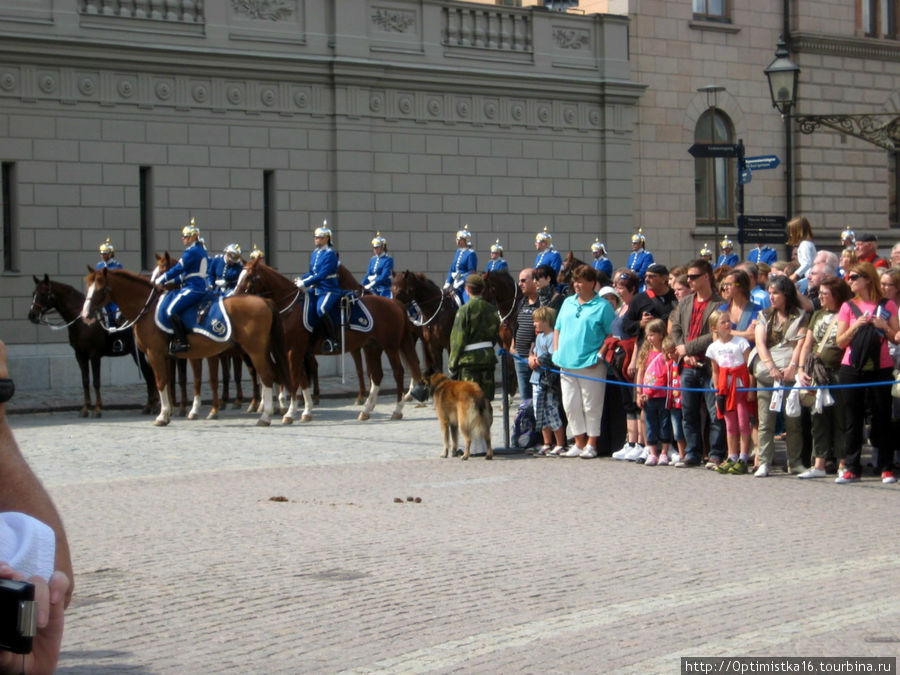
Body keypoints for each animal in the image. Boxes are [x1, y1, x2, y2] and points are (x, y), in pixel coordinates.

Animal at [26, 274, 158, 418]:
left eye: (44, 293)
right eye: (33, 293)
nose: (32, 315)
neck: (84, 322)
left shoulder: (94, 355)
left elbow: (96, 381)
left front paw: (98, 409)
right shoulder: (80, 355)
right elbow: (85, 381)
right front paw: (85, 408)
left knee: (150, 375)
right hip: (137, 354)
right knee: (149, 375)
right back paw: (150, 406)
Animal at [80, 266, 286, 426]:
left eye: (100, 289)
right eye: (88, 286)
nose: (85, 314)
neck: (148, 308)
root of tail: (264, 300)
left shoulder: (154, 354)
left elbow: (160, 381)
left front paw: (162, 416)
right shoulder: (165, 356)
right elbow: (169, 382)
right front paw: (170, 412)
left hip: (255, 351)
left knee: (267, 377)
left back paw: (265, 417)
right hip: (261, 351)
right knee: (272, 376)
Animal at [236, 258, 426, 422]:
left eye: (248, 277)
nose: (234, 296)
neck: (290, 309)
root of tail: (394, 303)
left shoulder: (294, 351)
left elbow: (294, 380)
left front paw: (290, 413)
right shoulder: (299, 352)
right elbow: (302, 380)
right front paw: (306, 410)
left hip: (390, 346)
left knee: (398, 372)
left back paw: (397, 410)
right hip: (372, 347)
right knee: (377, 375)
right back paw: (366, 410)